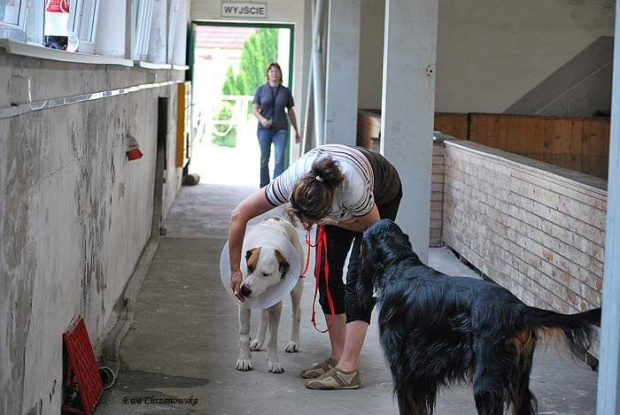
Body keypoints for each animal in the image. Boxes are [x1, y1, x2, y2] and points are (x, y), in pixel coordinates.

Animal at [236, 218, 304, 374]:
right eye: (249, 267)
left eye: (266, 274)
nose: (244, 289)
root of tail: (279, 218)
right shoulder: (243, 305)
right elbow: (244, 332)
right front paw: (244, 360)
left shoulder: (276, 307)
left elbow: (273, 337)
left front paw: (274, 362)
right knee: (264, 317)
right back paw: (259, 342)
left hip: (297, 285)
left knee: (296, 312)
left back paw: (294, 342)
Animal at [358, 219, 600, 414]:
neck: (399, 265)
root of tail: (518, 307)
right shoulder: (421, 374)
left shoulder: (403, 371)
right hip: (519, 378)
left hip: (485, 381)